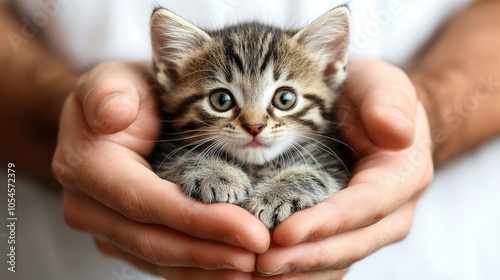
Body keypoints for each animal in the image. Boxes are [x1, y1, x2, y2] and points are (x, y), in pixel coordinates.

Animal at [149, 6, 352, 230]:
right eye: (221, 100)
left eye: (285, 99)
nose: (255, 126)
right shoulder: (162, 157)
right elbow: (179, 158)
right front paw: (217, 174)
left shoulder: (337, 167)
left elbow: (319, 175)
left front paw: (277, 195)